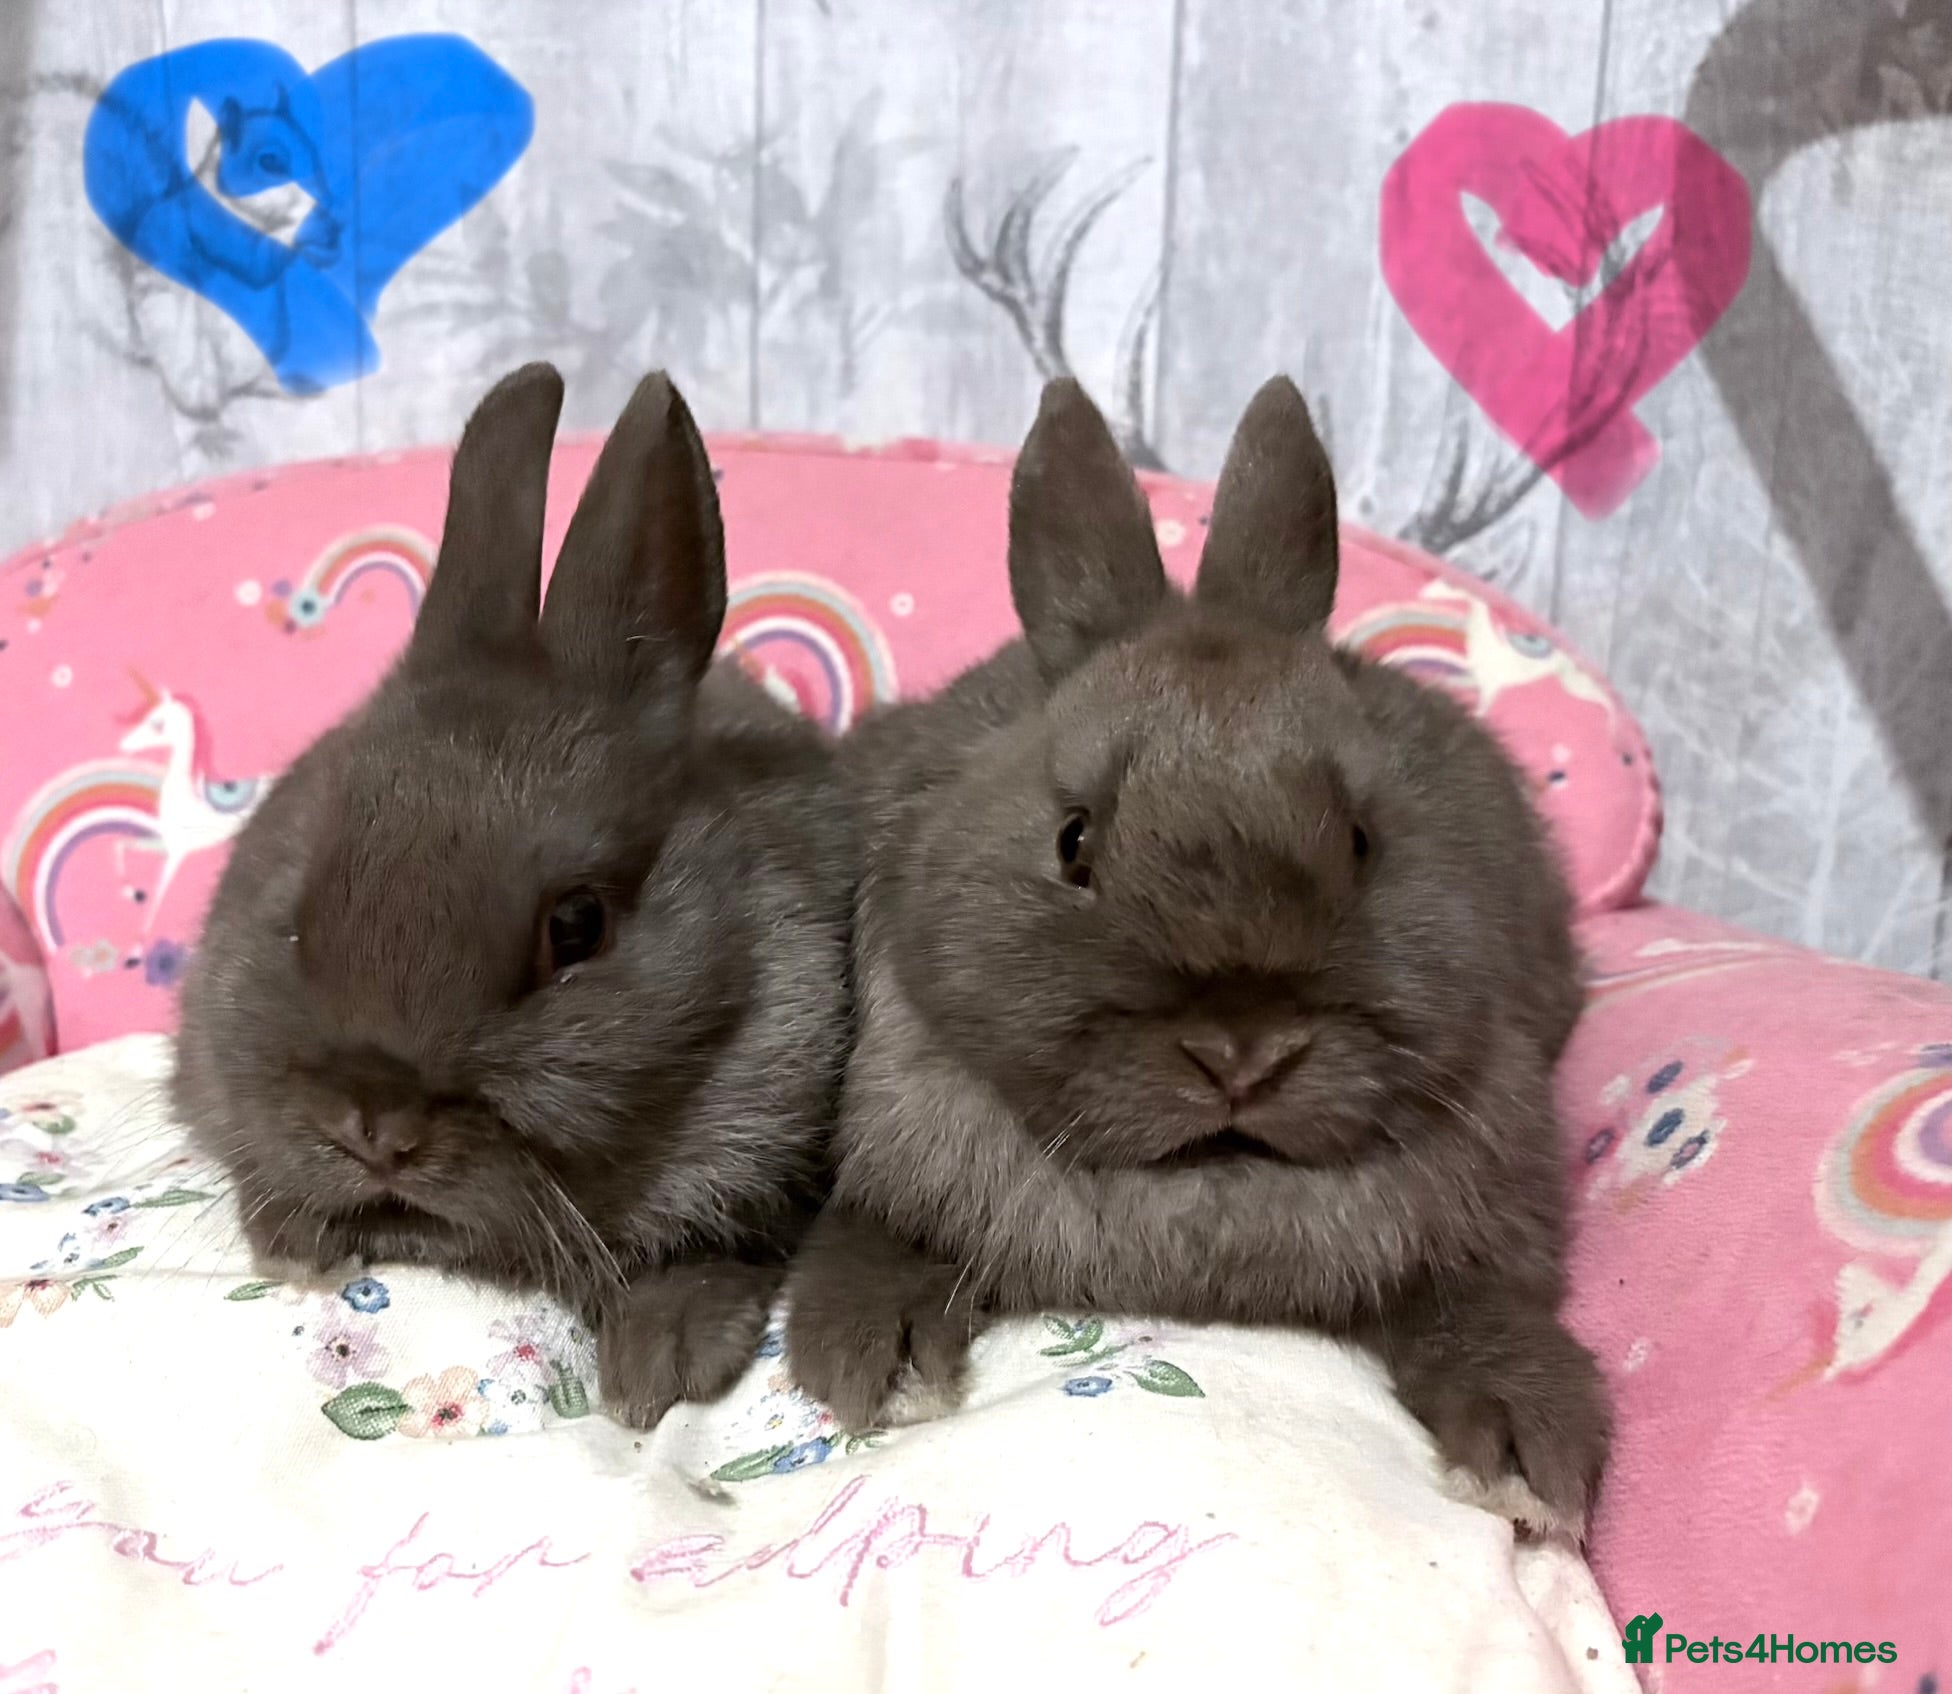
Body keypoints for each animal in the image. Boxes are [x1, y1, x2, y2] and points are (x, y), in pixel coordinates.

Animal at [173, 362, 855, 1429]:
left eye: (577, 928)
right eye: (292, 922)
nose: (377, 1130)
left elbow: (715, 1250)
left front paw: (658, 1371)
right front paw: (295, 1249)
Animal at [784, 374, 1608, 1533]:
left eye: (1363, 838)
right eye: (1072, 841)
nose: (1240, 1054)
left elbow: (1481, 1310)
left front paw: (1526, 1453)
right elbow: (872, 1238)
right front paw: (883, 1362)